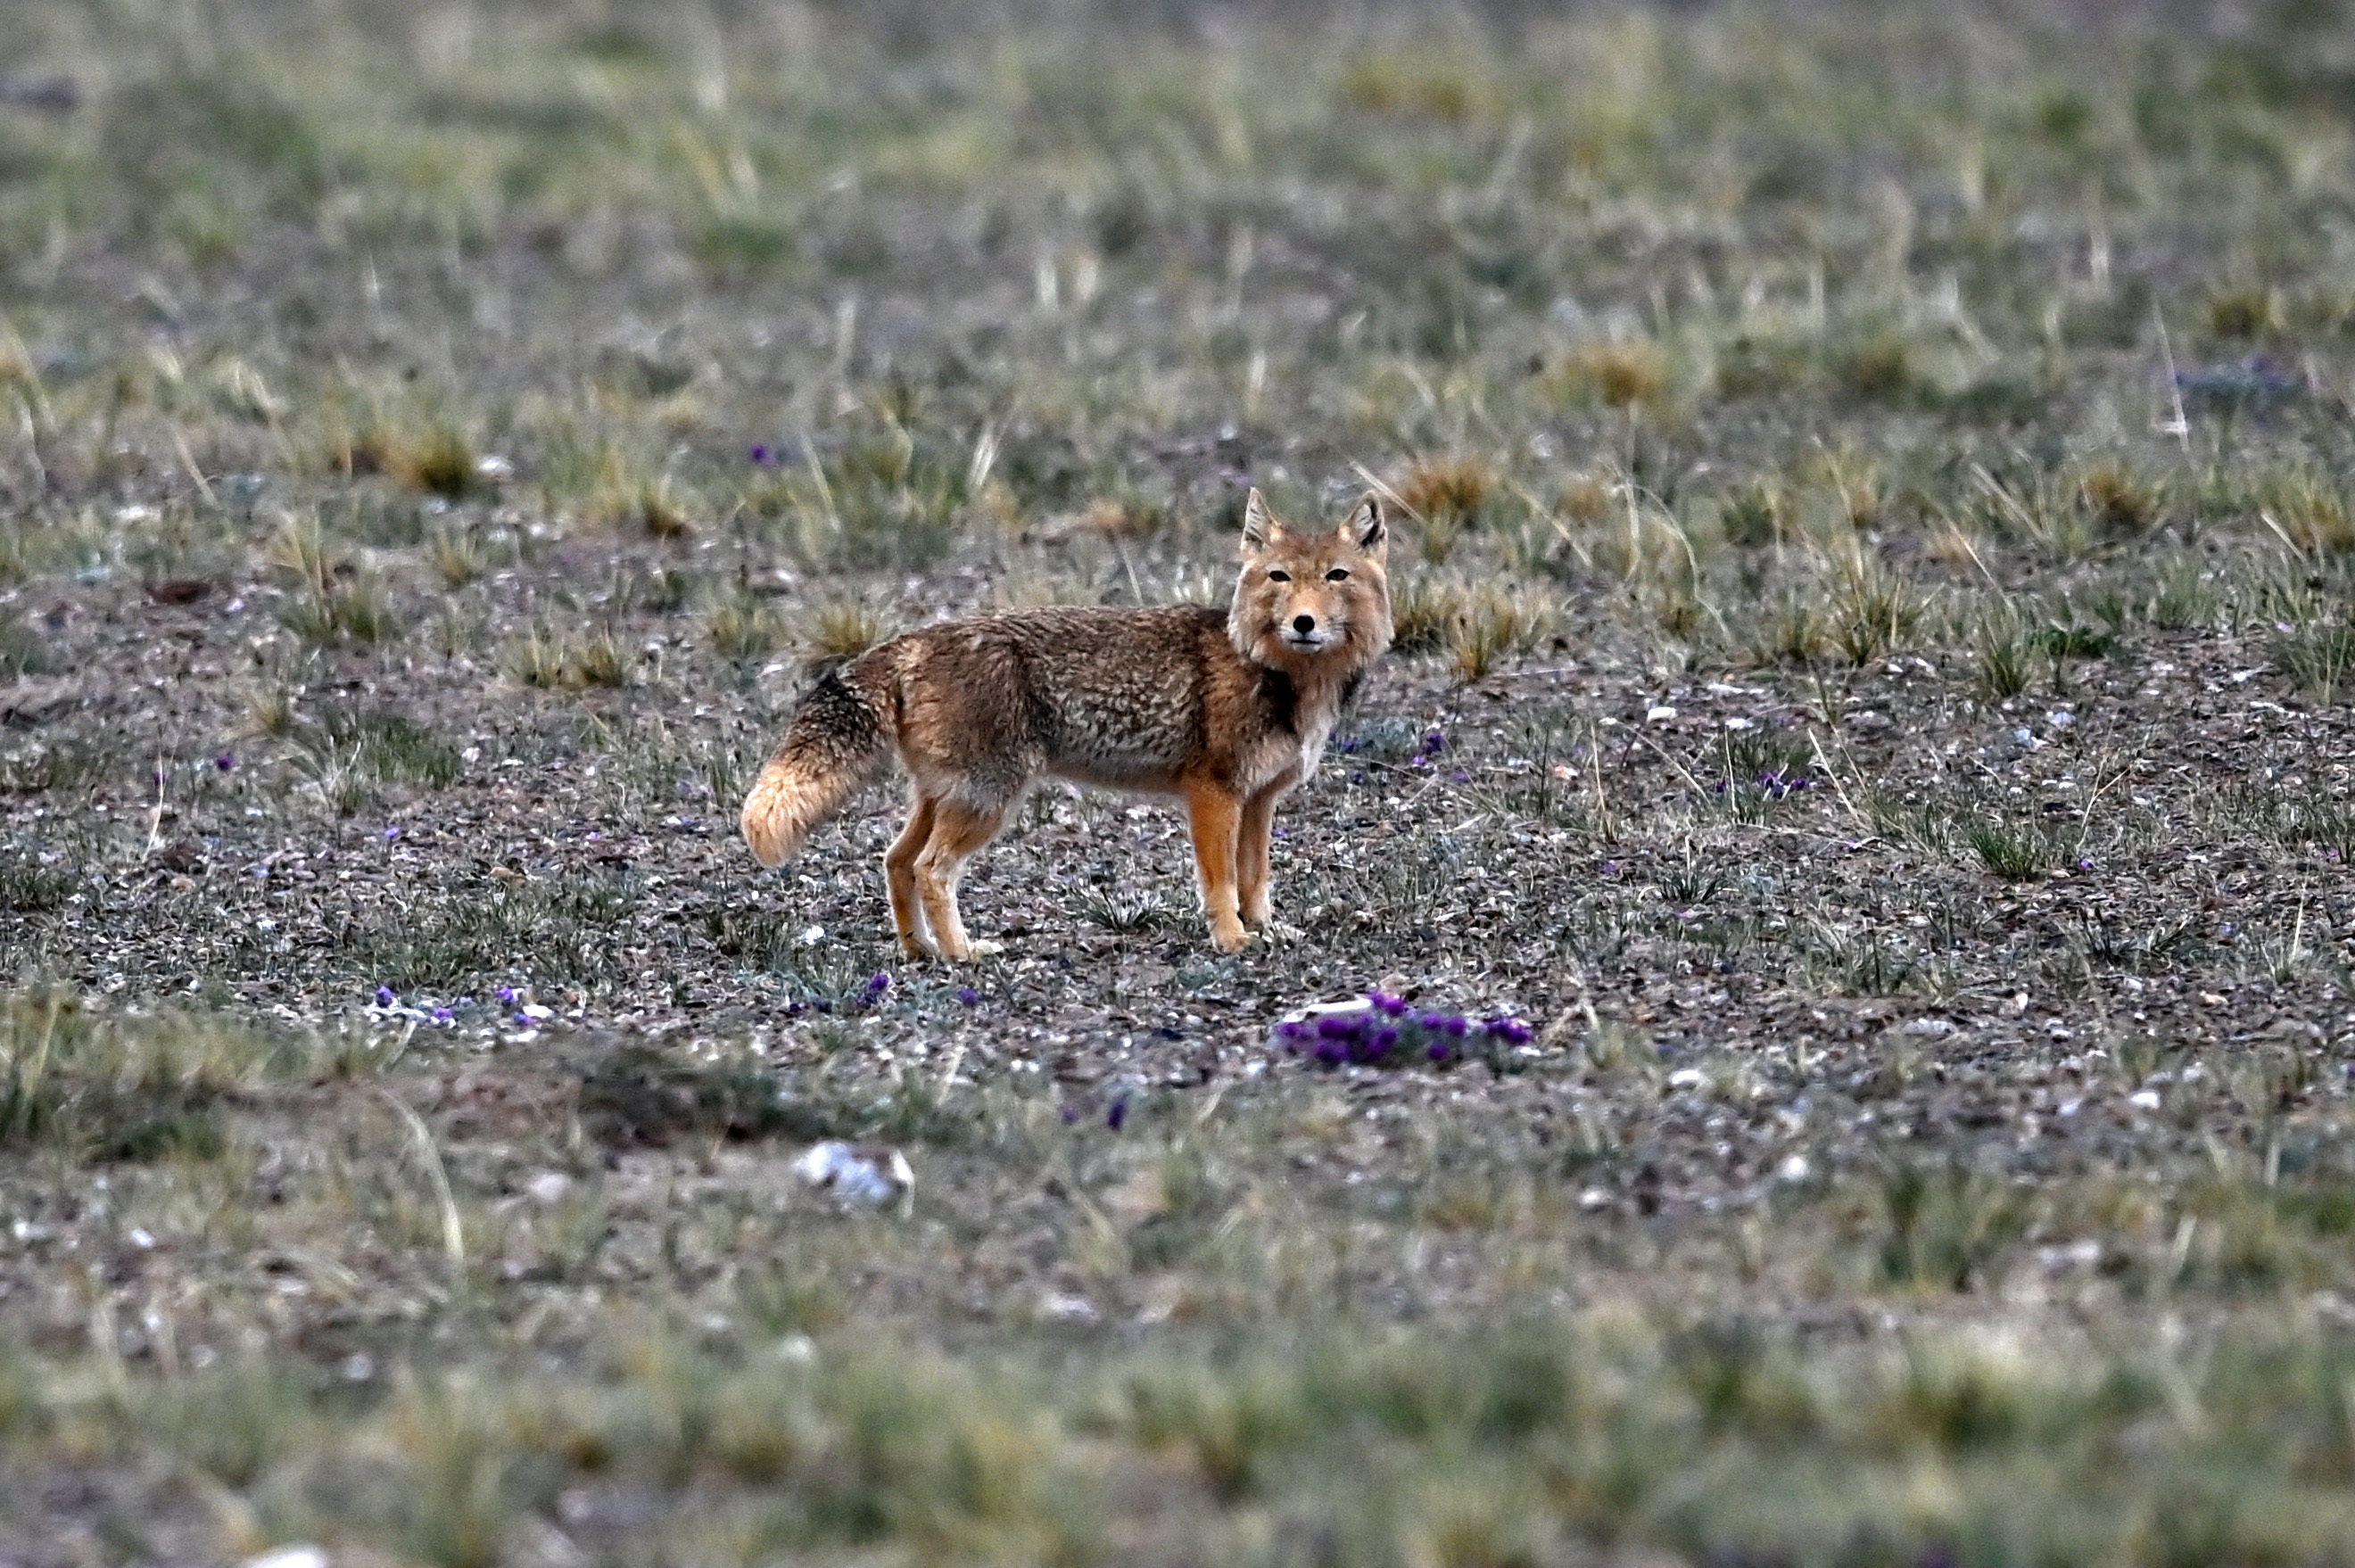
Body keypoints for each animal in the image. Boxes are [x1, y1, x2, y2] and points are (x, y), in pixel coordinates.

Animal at [744, 484, 1384, 951]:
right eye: (1279, 577)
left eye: (1336, 576)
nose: (1304, 623)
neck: (1276, 673)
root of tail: (915, 639)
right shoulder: (1214, 794)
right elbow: (1221, 882)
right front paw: (1231, 940)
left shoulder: (1258, 800)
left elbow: (1255, 880)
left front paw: (1267, 931)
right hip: (988, 800)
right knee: (930, 870)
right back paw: (961, 954)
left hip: (946, 797)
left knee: (897, 860)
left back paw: (918, 951)